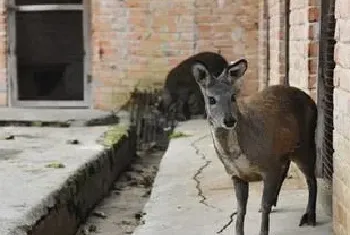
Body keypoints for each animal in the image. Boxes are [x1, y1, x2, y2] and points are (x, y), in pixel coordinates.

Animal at [191, 58, 318, 235]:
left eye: (233, 96)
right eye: (211, 99)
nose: (229, 120)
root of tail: (312, 101)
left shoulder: (269, 166)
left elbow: (263, 205)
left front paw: (263, 230)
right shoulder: (236, 175)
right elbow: (240, 209)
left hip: (305, 143)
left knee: (311, 178)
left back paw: (310, 217)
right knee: (286, 169)